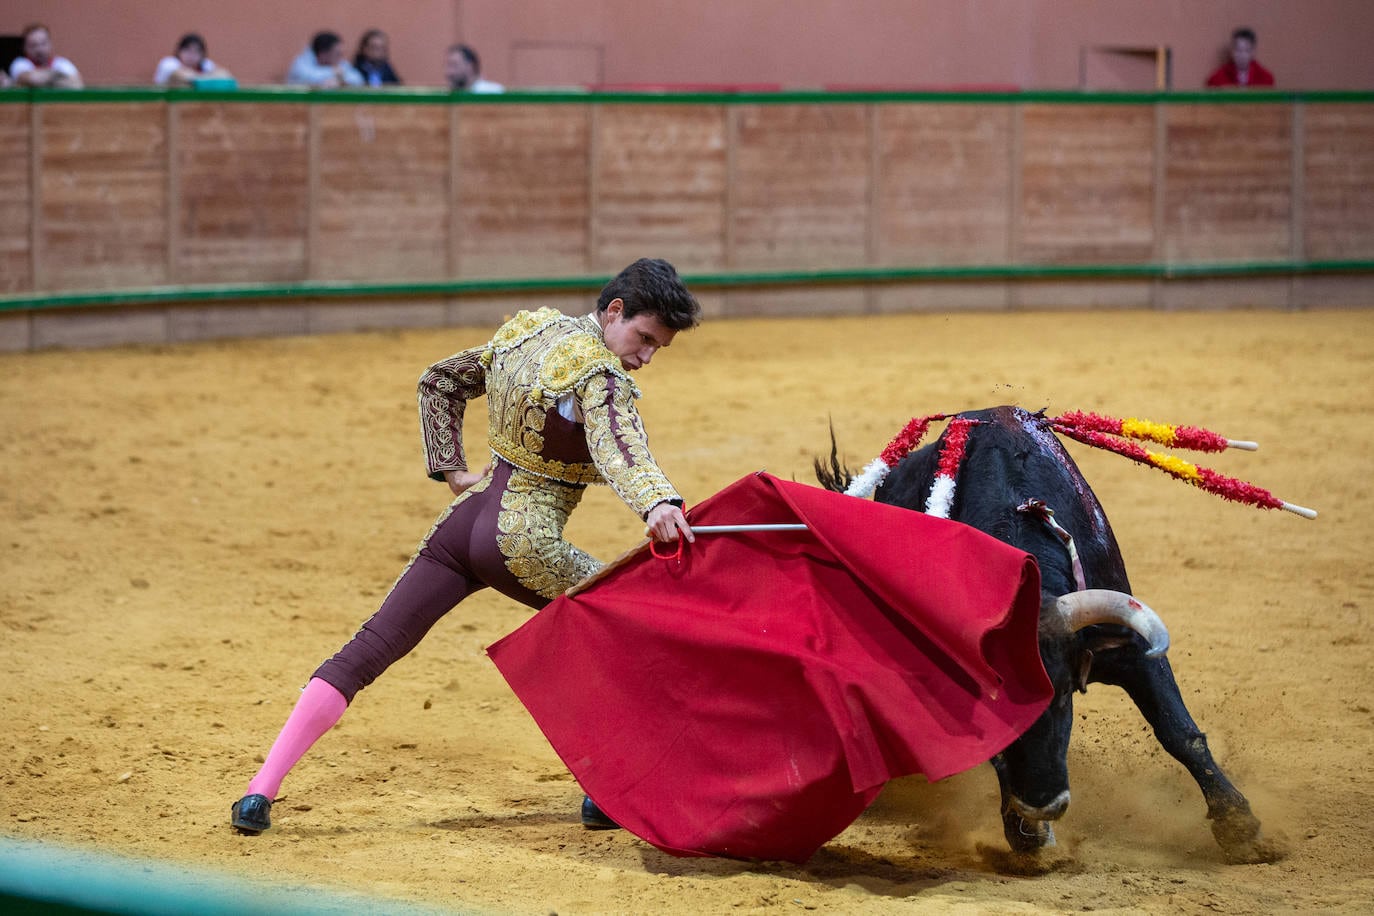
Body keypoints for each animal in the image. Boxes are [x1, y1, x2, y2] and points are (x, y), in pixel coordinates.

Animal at [813, 406, 1275, 867]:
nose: (1043, 805)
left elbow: (1178, 731)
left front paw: (1241, 828)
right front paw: (1029, 837)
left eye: (1065, 692)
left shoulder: (1131, 648)